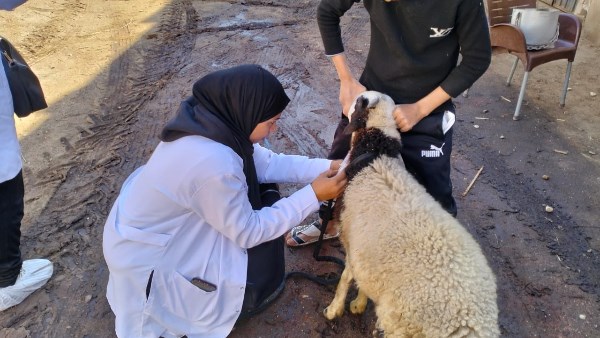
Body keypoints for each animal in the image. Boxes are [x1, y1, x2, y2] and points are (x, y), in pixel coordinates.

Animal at [326, 90, 500, 338]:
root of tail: (470, 324)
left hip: (403, 324)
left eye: (359, 100)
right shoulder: (367, 254)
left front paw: (334, 309)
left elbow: (345, 279)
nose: (346, 102)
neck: (376, 155)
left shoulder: (352, 243)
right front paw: (359, 304)